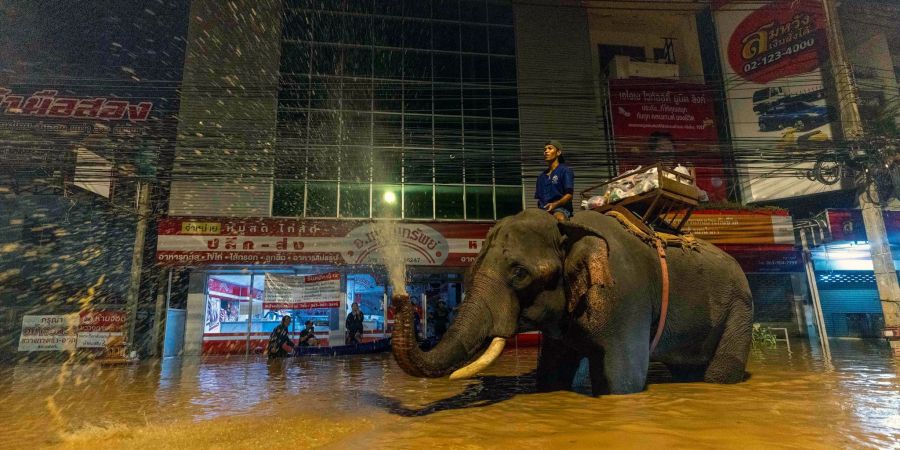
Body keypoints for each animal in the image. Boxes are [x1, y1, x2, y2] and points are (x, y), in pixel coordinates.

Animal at [392, 209, 752, 396]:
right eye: (470, 271)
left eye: (520, 273)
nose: (399, 297)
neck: (568, 225)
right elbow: (553, 371)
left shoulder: (625, 296)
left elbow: (623, 380)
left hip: (740, 308)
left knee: (720, 372)